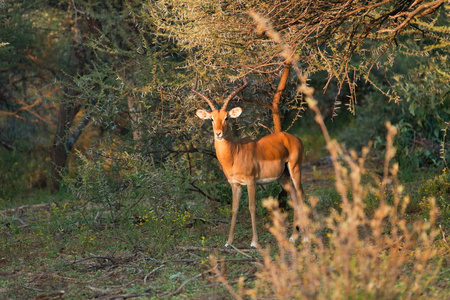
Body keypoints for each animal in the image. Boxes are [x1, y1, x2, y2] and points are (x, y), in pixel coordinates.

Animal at [193, 78, 306, 248]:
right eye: (212, 118)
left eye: (226, 117)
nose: (218, 133)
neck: (234, 153)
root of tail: (294, 138)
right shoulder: (234, 184)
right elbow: (234, 209)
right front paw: (228, 242)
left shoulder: (251, 181)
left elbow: (251, 207)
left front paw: (254, 242)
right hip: (283, 177)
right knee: (294, 198)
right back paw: (293, 237)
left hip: (295, 169)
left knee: (301, 195)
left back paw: (305, 238)